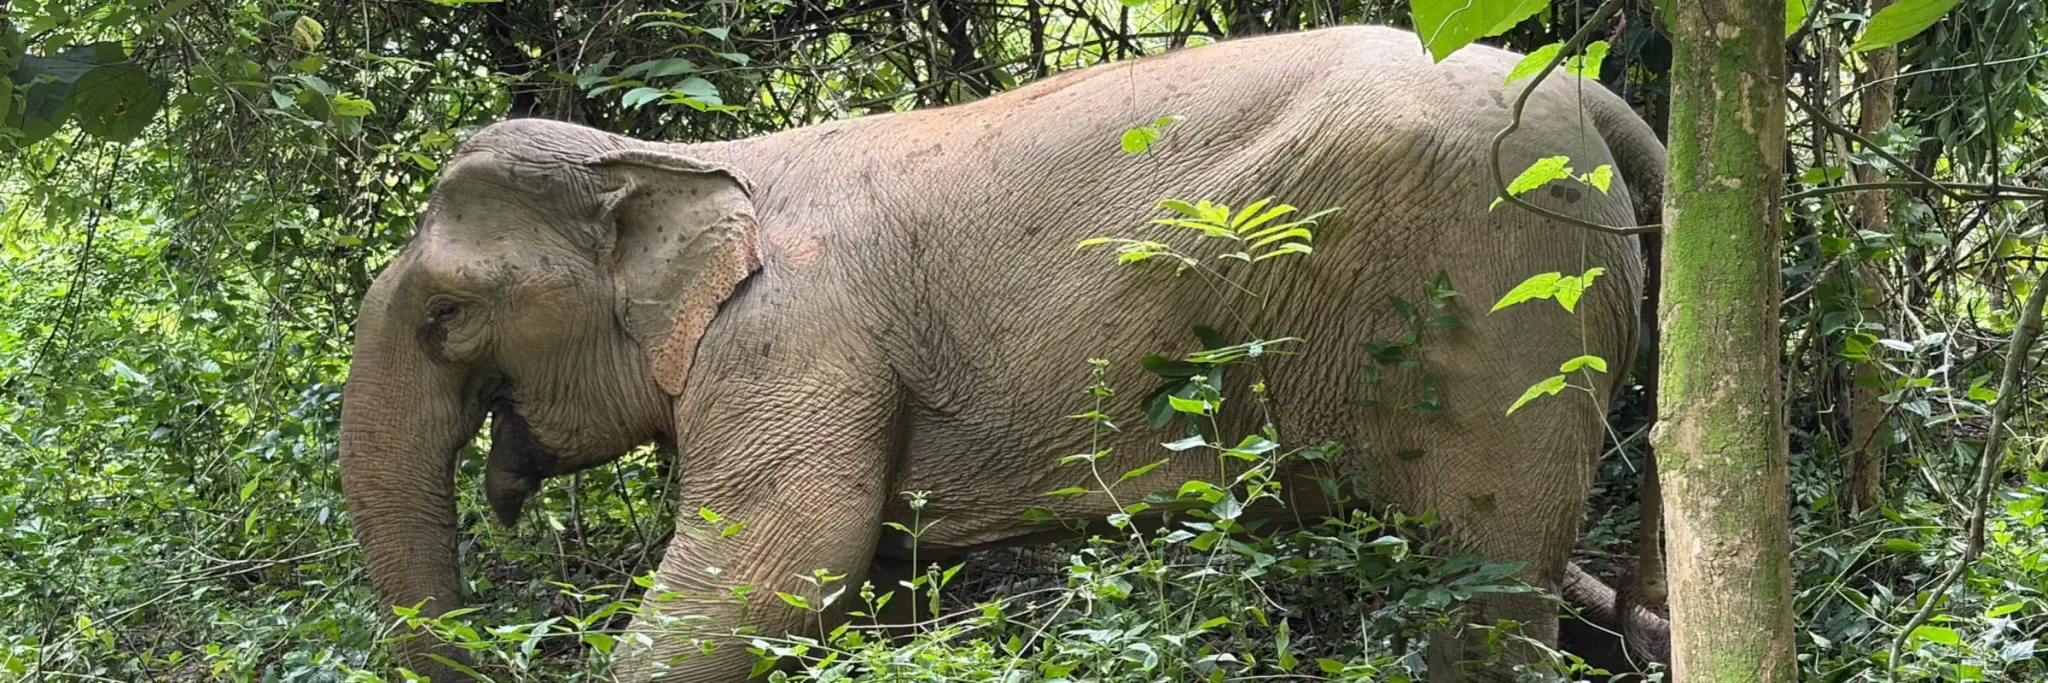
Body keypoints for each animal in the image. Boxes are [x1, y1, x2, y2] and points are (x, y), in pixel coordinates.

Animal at [337, 25, 1669, 682]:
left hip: (1500, 290)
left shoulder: (795, 340)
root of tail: (1600, 104)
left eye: (448, 314)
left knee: (1484, 574)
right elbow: (847, 580)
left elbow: (772, 565)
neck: (691, 159)